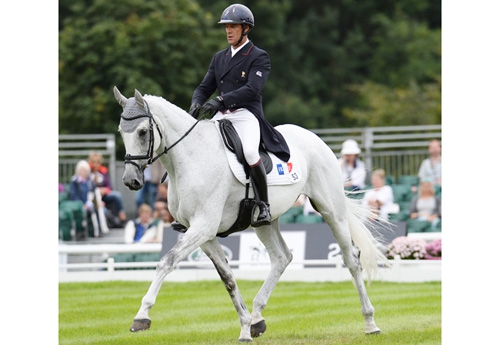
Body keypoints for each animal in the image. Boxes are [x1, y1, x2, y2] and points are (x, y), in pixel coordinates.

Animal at [114, 86, 390, 342]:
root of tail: (314, 138)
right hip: (265, 222)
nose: (130, 181)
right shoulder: (204, 233)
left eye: (142, 131)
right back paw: (257, 319)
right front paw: (246, 325)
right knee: (282, 257)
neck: (191, 159)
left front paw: (141, 316)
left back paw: (370, 323)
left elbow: (167, 261)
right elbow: (227, 277)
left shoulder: (203, 226)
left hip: (331, 209)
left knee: (351, 257)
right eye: (120, 132)